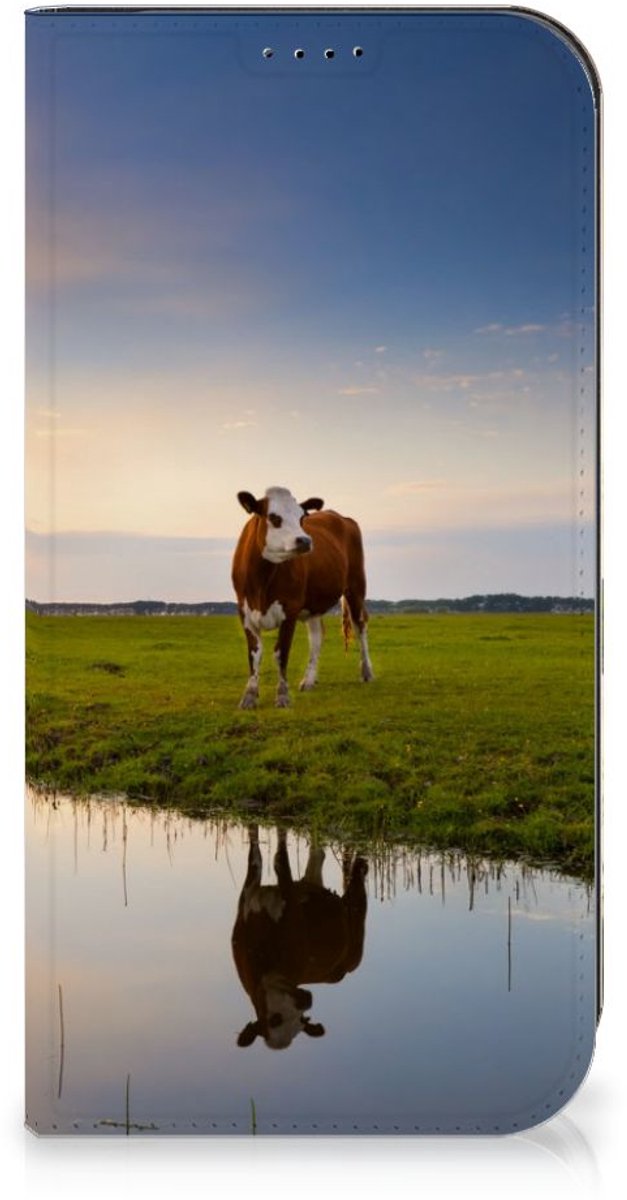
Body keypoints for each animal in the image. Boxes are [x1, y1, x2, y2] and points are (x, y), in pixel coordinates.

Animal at [231, 486, 373, 708]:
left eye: (301, 517)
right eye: (273, 517)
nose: (305, 540)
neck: (262, 581)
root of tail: (341, 517)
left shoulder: (290, 610)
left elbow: (281, 653)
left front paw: (282, 695)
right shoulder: (244, 612)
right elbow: (254, 654)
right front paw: (249, 696)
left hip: (356, 586)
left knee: (360, 626)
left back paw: (366, 671)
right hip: (313, 604)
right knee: (317, 636)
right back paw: (308, 680)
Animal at [231, 825, 368, 1050]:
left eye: (301, 1021)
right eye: (274, 1019)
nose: (307, 1001)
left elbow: (279, 859)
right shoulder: (247, 896)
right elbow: (256, 854)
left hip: (356, 929)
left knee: (357, 887)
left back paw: (361, 865)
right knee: (317, 855)